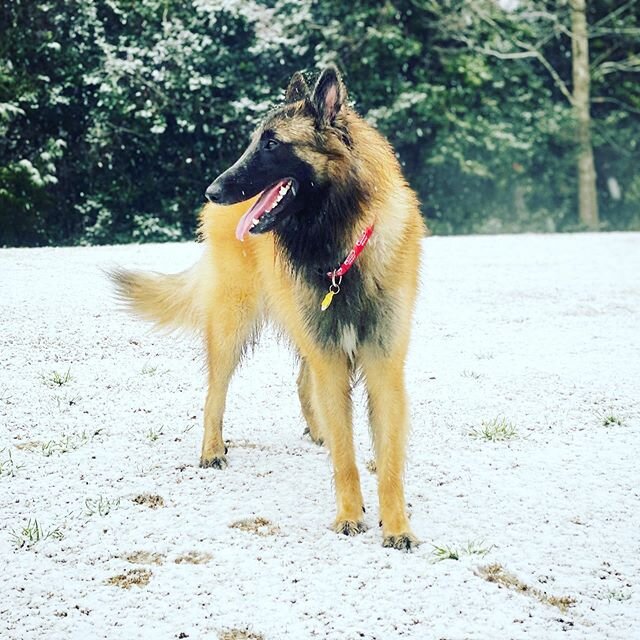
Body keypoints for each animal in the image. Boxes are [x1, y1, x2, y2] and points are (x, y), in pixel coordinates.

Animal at [113, 65, 428, 552]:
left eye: (272, 143)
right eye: (254, 141)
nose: (212, 190)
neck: (340, 243)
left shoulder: (382, 363)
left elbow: (390, 457)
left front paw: (396, 526)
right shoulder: (331, 357)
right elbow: (346, 455)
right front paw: (349, 514)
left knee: (302, 383)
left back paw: (317, 432)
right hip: (233, 327)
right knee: (215, 394)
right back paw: (212, 450)